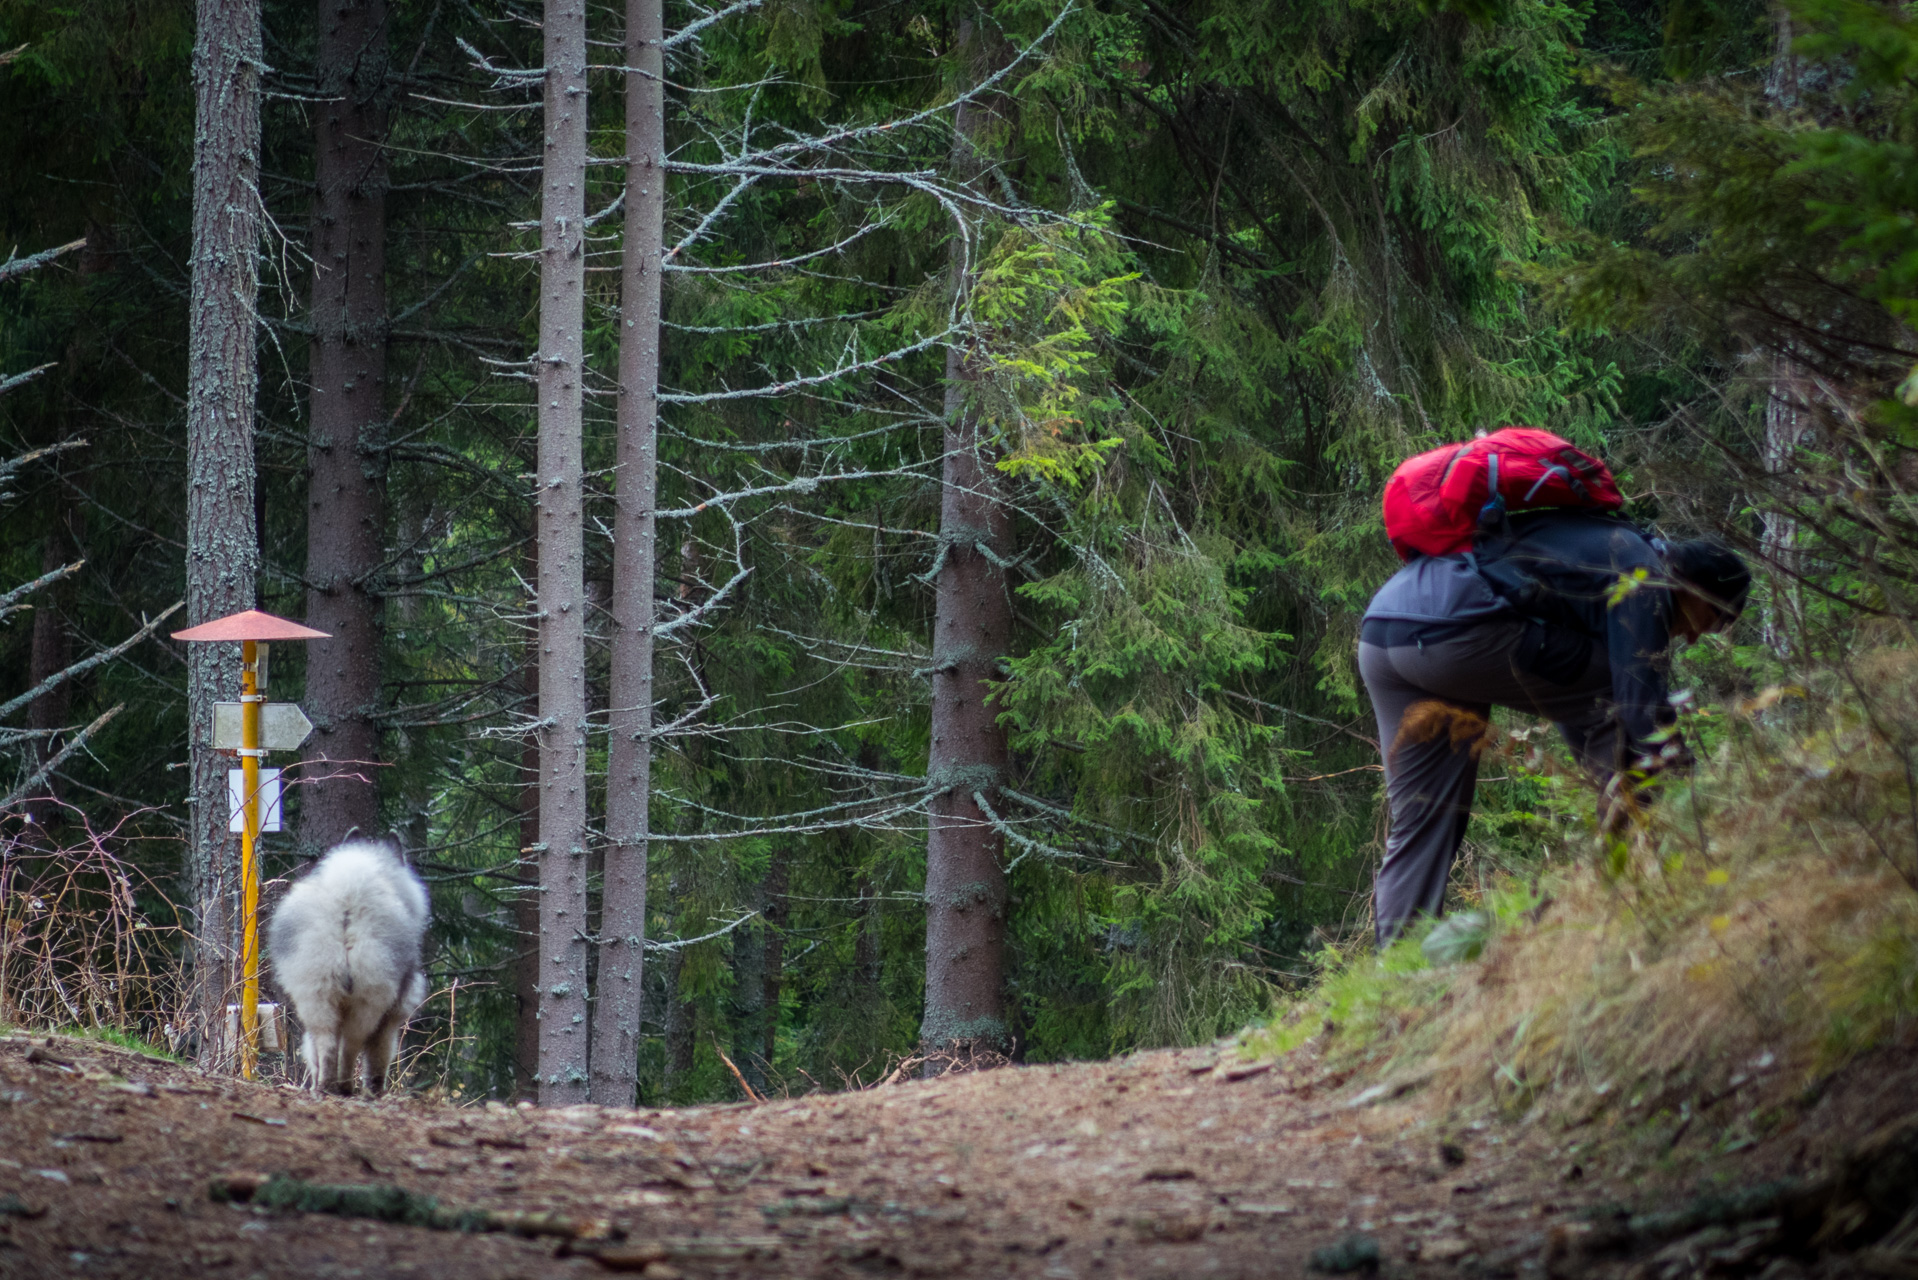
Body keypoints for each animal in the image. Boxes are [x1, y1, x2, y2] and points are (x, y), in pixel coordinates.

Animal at [268, 836, 429, 1097]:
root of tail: (348, 900)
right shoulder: (391, 1017)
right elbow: (378, 1058)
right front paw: (375, 1091)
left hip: (316, 994)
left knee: (327, 1044)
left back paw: (324, 1087)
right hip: (367, 1000)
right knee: (350, 1046)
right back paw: (344, 1087)